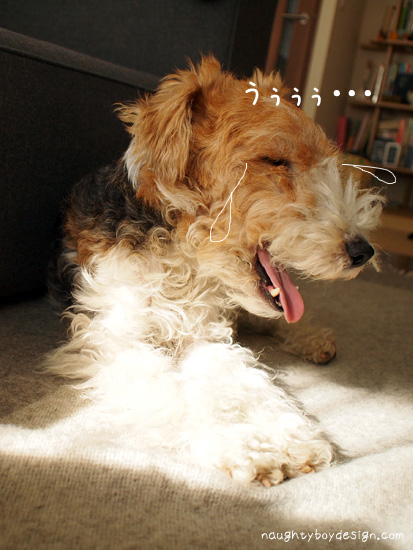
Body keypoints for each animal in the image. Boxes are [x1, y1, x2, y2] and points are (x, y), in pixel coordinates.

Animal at [46, 56, 383, 486]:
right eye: (275, 161)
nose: (363, 250)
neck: (182, 256)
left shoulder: (203, 335)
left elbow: (247, 383)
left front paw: (292, 442)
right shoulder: (116, 340)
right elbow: (174, 390)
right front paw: (247, 449)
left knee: (273, 321)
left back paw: (315, 340)